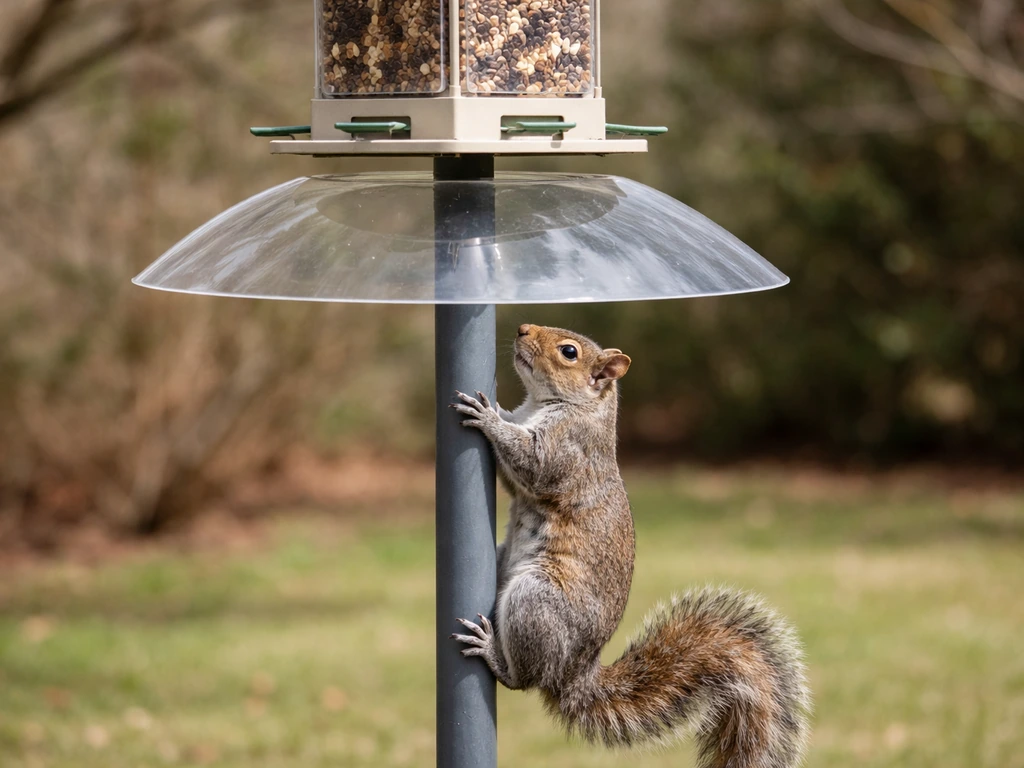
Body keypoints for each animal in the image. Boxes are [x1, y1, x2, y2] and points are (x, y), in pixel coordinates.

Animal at [451, 323, 810, 768]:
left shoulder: (569, 450)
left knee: (525, 678)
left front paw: (487, 417)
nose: (522, 329)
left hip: (536, 601)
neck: (553, 405)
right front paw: (496, 410)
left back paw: (492, 652)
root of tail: (574, 674)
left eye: (569, 352)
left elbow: (533, 464)